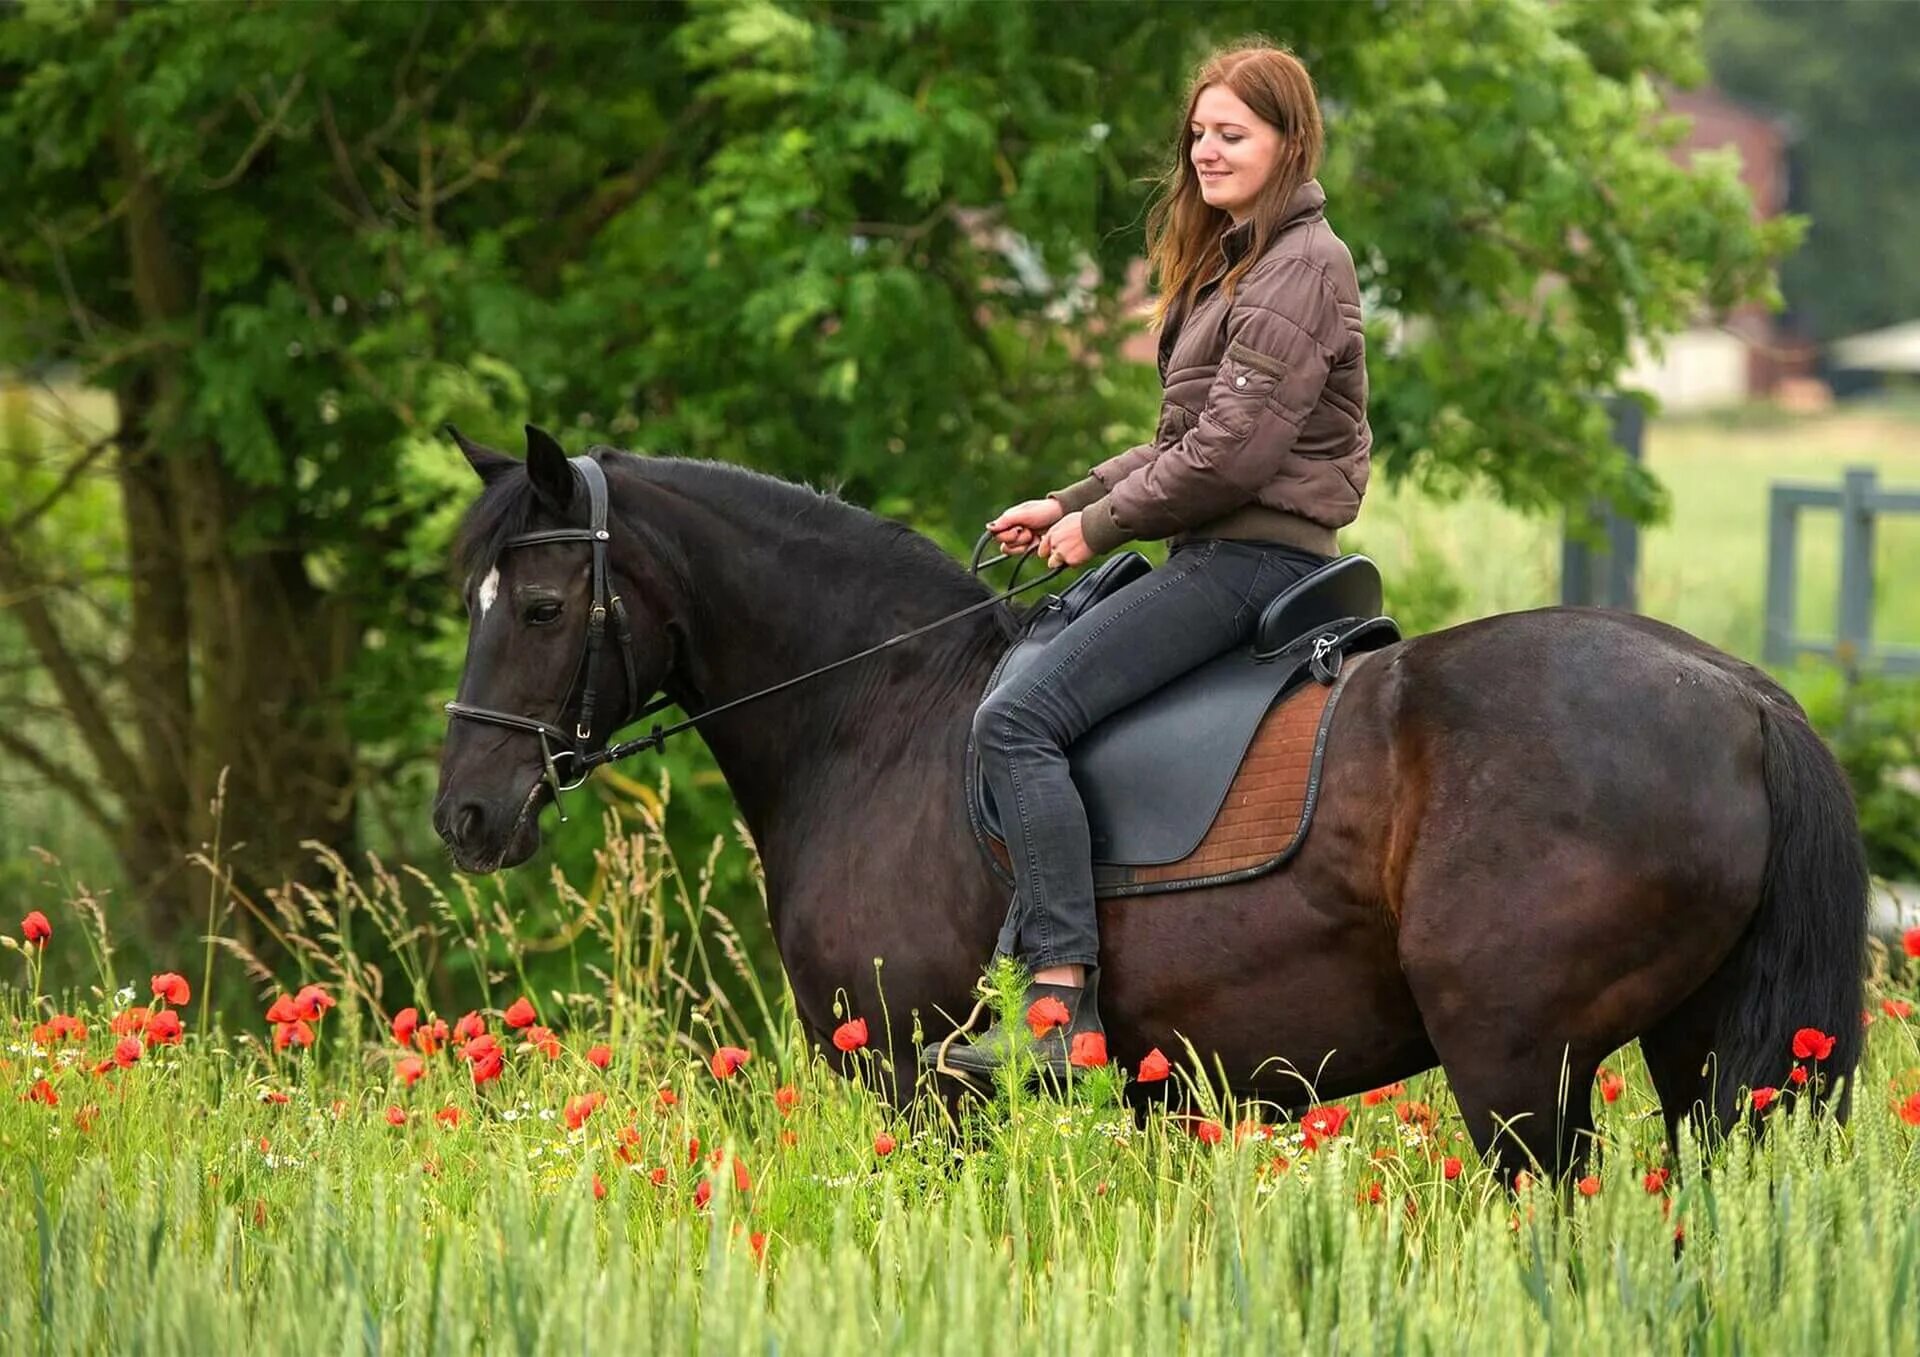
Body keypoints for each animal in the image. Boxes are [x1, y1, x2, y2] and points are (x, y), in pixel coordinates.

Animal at [432, 428, 1858, 1174]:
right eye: (474, 598)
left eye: (543, 607)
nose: (467, 817)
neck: (882, 712)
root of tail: (1742, 694)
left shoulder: (919, 1088)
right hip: (1694, 1052)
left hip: (1517, 1066)